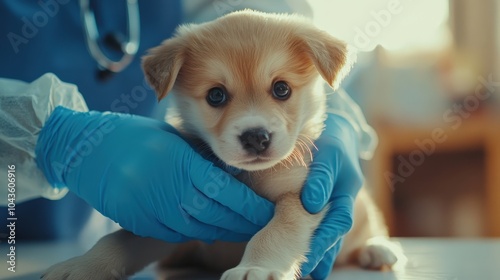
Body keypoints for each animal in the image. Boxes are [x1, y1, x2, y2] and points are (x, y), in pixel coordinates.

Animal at [42, 9, 402, 280]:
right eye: (216, 95)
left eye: (282, 88)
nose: (256, 137)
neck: (246, 178)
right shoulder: (169, 218)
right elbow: (118, 239)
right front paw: (79, 266)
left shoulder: (299, 196)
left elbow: (273, 233)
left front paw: (255, 268)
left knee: (369, 228)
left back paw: (377, 249)